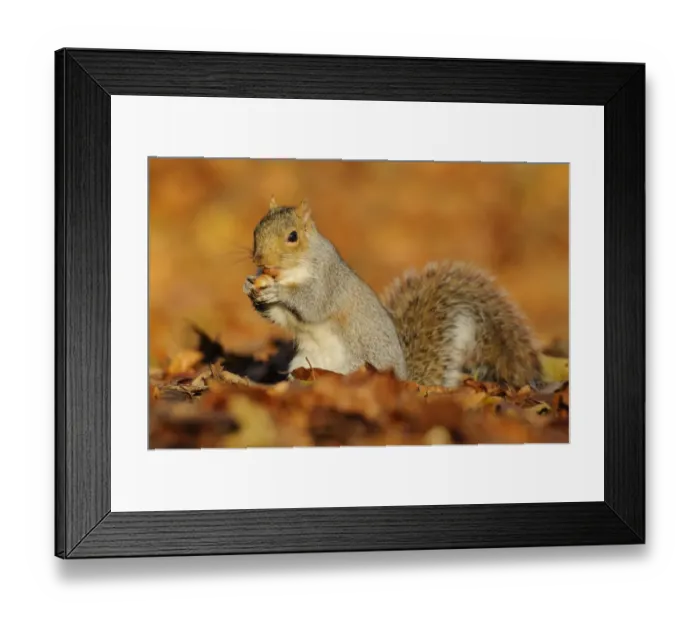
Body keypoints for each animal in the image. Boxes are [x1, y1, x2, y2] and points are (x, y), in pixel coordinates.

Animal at [243, 197, 542, 388]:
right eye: (256, 228)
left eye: (292, 236)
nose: (259, 260)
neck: (290, 272)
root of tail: (405, 381)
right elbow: (281, 318)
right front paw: (251, 288)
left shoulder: (329, 281)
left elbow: (312, 304)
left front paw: (277, 292)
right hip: (303, 365)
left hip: (360, 367)